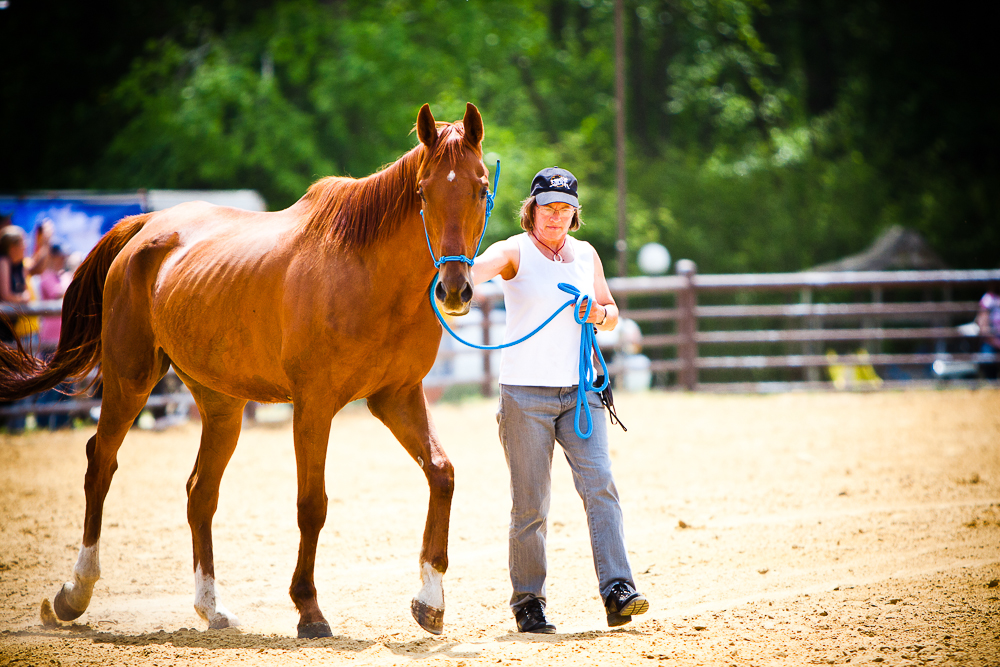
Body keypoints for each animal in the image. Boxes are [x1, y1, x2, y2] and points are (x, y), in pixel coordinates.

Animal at [0, 103, 489, 638]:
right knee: (100, 465)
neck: (368, 273)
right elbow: (311, 505)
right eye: (422, 192)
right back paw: (74, 594)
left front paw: (430, 601)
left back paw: (210, 607)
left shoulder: (397, 396)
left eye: (480, 186)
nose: (455, 289)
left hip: (221, 404)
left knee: (200, 493)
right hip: (130, 380)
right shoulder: (314, 406)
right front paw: (309, 609)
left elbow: (441, 473)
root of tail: (146, 226)